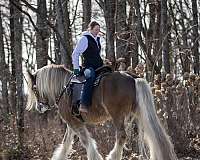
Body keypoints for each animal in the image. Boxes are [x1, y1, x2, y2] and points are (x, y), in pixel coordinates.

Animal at [25, 64, 177, 160]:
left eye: (34, 88)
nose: (40, 107)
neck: (63, 88)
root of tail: (132, 78)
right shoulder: (72, 122)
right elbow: (66, 143)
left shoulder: (73, 122)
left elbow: (85, 141)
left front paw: (95, 157)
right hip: (139, 113)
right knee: (153, 134)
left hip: (117, 115)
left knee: (122, 136)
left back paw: (113, 156)